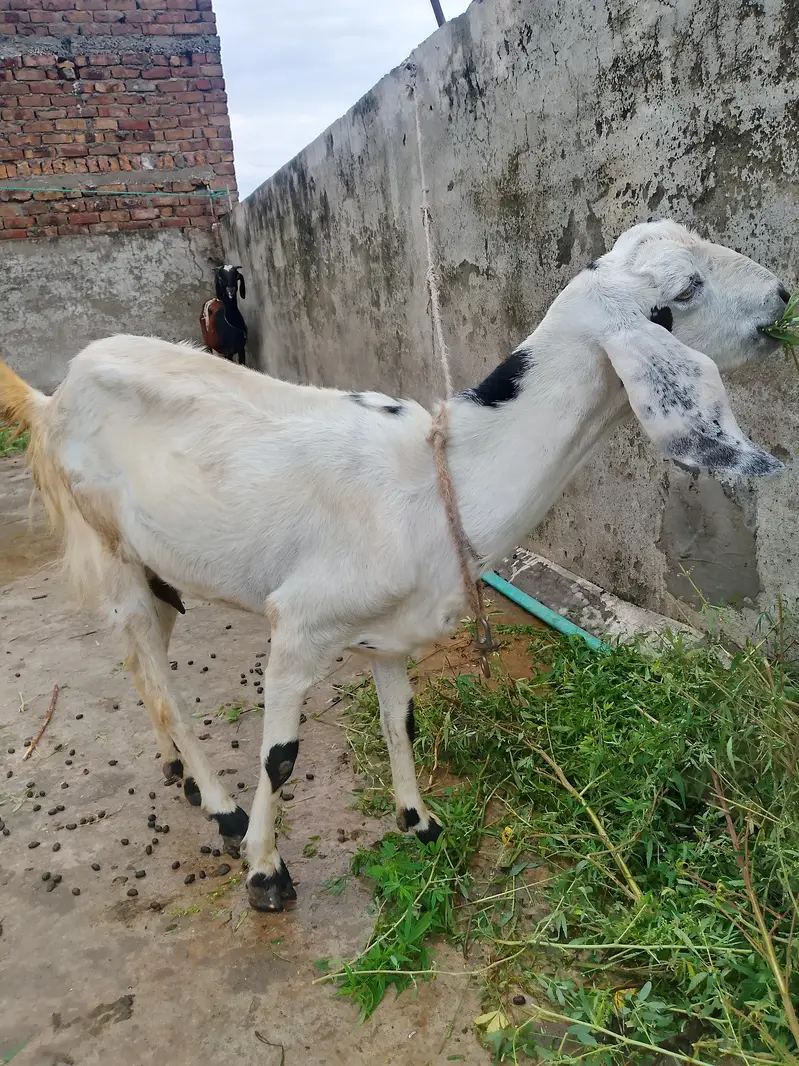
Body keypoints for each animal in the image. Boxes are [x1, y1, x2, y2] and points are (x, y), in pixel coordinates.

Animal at [0, 220, 788, 913]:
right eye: (685, 290)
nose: (782, 294)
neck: (438, 481)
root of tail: (52, 397)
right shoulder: (299, 624)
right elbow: (280, 755)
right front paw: (266, 873)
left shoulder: (390, 634)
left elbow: (399, 720)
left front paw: (418, 820)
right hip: (104, 542)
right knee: (157, 675)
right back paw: (222, 811)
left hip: (156, 563)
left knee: (145, 658)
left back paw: (180, 773)